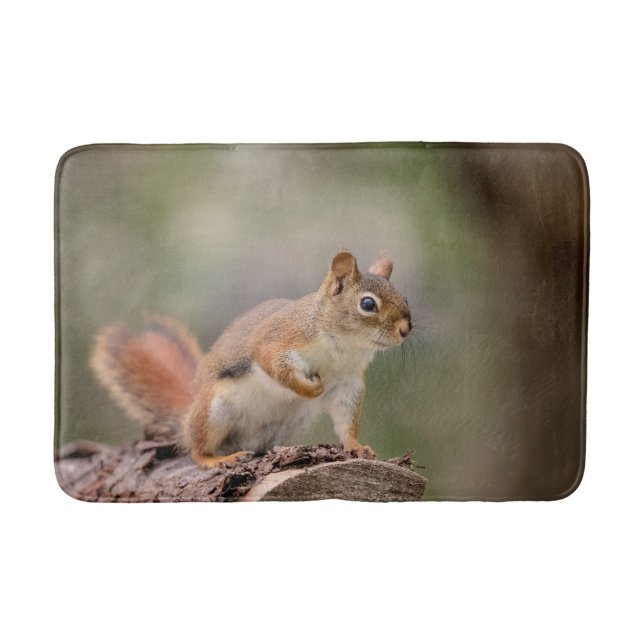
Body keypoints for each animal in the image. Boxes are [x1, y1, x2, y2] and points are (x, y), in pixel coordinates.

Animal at [91, 252, 412, 469]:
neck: (344, 346)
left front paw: (357, 447)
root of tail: (186, 416)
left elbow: (346, 419)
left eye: (404, 298)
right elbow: (275, 366)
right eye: (367, 304)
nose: (405, 330)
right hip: (213, 410)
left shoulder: (347, 381)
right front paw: (310, 389)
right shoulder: (277, 339)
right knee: (196, 449)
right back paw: (215, 459)